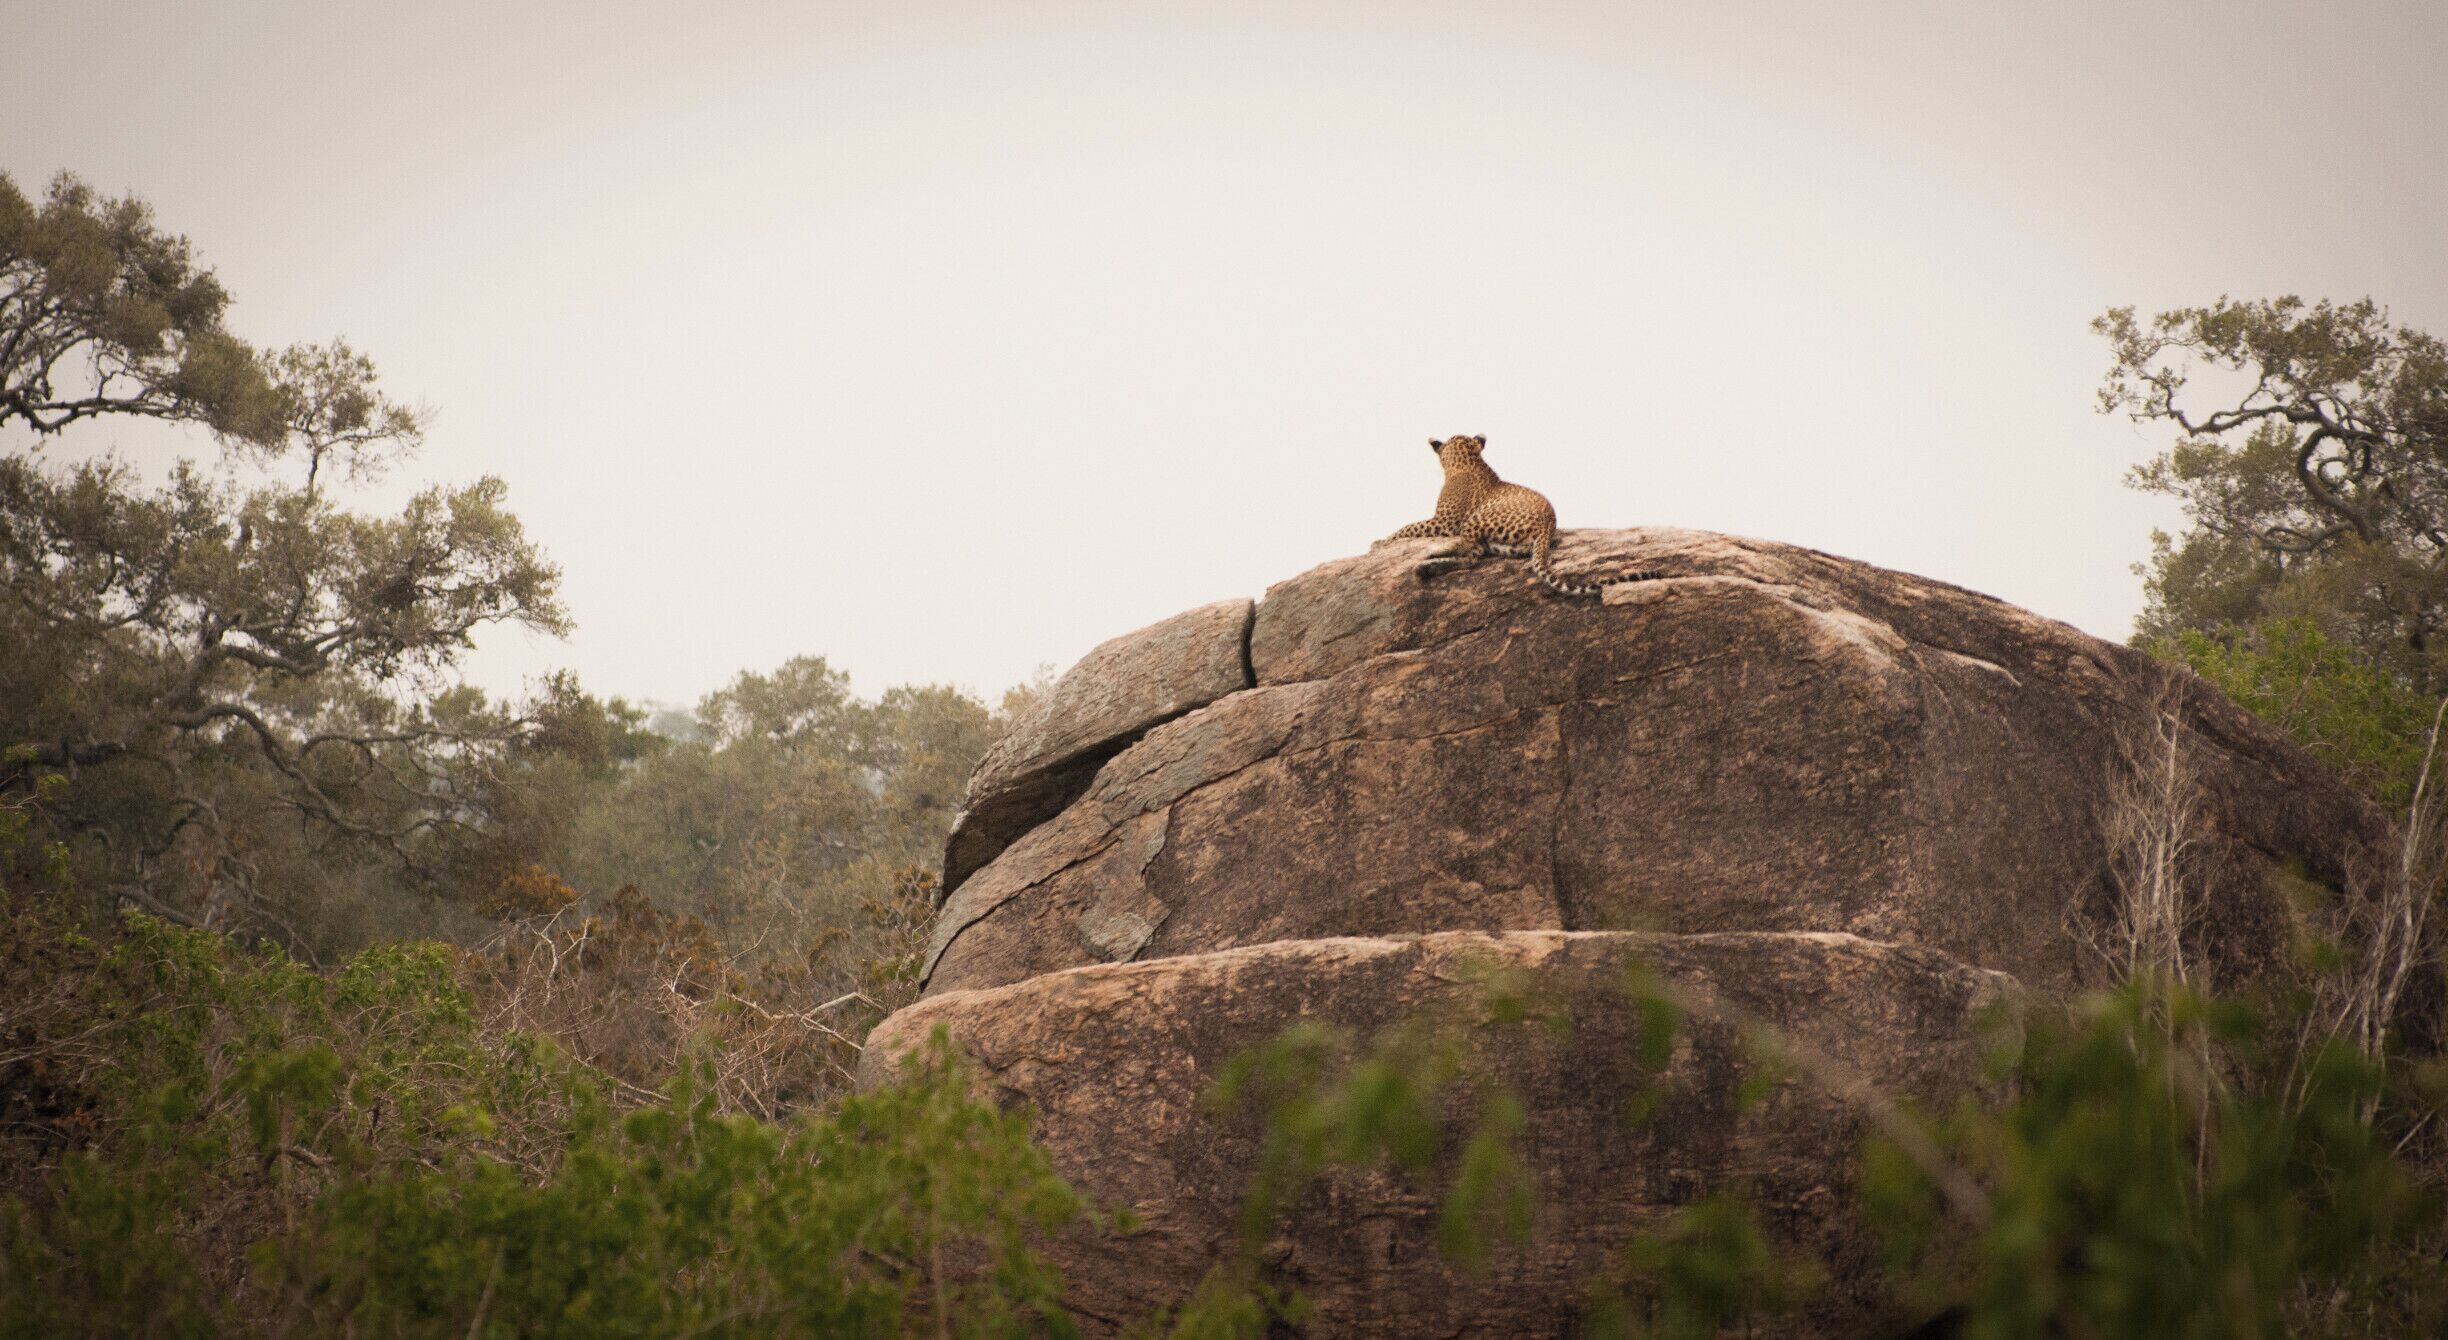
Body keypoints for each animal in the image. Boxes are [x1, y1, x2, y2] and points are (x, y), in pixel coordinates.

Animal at [1382, 434, 1658, 598]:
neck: (1468, 459)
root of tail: (1549, 526)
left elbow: (1409, 527)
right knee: (1473, 556)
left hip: (1478, 520)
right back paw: (1427, 568)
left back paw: (1432, 555)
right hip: (1503, 545)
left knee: (1468, 547)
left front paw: (1381, 542)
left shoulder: (1444, 522)